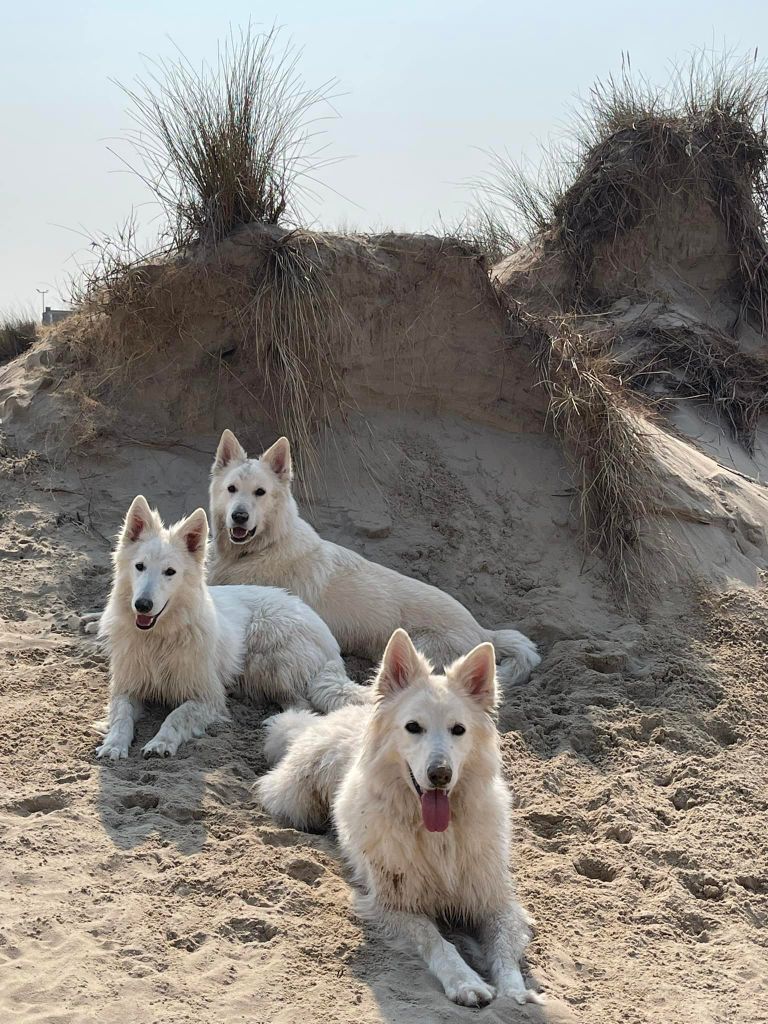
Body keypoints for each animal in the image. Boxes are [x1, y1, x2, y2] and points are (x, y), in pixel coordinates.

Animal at [94, 495, 370, 761]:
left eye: (169, 572)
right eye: (139, 566)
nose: (142, 605)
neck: (158, 637)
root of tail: (327, 637)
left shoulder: (206, 697)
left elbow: (176, 717)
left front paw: (160, 743)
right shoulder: (127, 688)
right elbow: (120, 717)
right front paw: (113, 745)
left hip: (266, 652)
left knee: (303, 702)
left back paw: (276, 721)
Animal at [259, 626, 540, 1003]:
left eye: (458, 729)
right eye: (413, 727)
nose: (440, 775)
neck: (438, 835)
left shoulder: (494, 899)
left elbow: (504, 948)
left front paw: (515, 992)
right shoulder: (395, 905)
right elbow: (438, 941)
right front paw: (465, 981)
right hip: (297, 801)